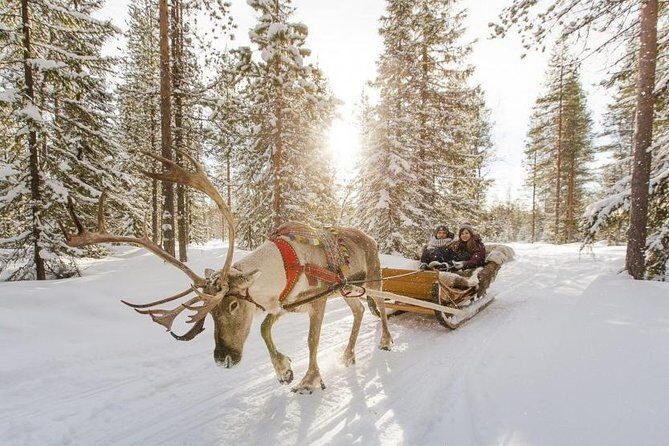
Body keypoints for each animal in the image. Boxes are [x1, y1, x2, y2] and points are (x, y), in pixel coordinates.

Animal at [62, 149, 393, 394]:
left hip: (374, 278)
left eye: (233, 304)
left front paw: (309, 380)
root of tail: (371, 237)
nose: (223, 360)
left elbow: (311, 341)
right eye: (208, 313)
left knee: (381, 307)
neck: (285, 266)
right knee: (359, 311)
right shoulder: (282, 303)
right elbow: (263, 329)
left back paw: (386, 341)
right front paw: (284, 369)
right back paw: (349, 354)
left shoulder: (317, 300)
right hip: (349, 290)